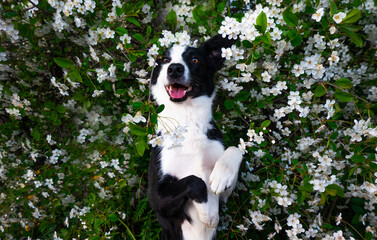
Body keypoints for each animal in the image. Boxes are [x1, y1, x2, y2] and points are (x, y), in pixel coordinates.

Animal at [148, 35, 242, 240]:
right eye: (165, 60)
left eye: (194, 59)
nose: (175, 68)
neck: (187, 120)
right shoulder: (157, 200)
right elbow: (195, 181)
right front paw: (208, 213)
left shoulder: (226, 195)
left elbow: (235, 149)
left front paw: (221, 175)